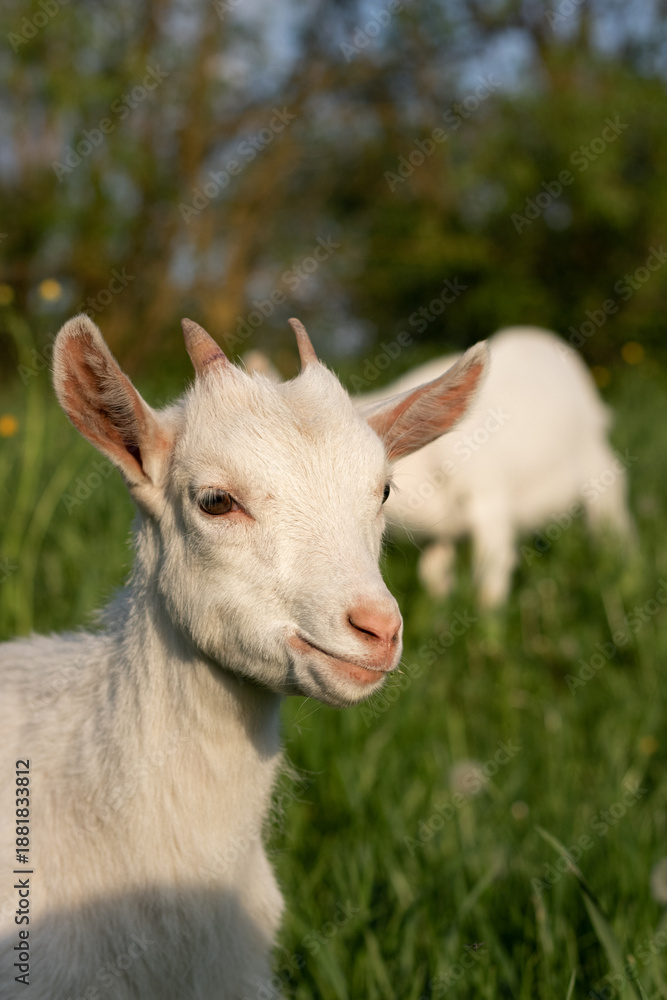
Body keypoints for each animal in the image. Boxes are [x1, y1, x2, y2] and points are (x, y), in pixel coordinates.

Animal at [363, 326, 634, 607]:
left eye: (386, 490)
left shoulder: (488, 494)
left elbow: (489, 572)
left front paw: (486, 614)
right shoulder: (436, 533)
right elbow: (432, 573)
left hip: (597, 463)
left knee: (611, 518)